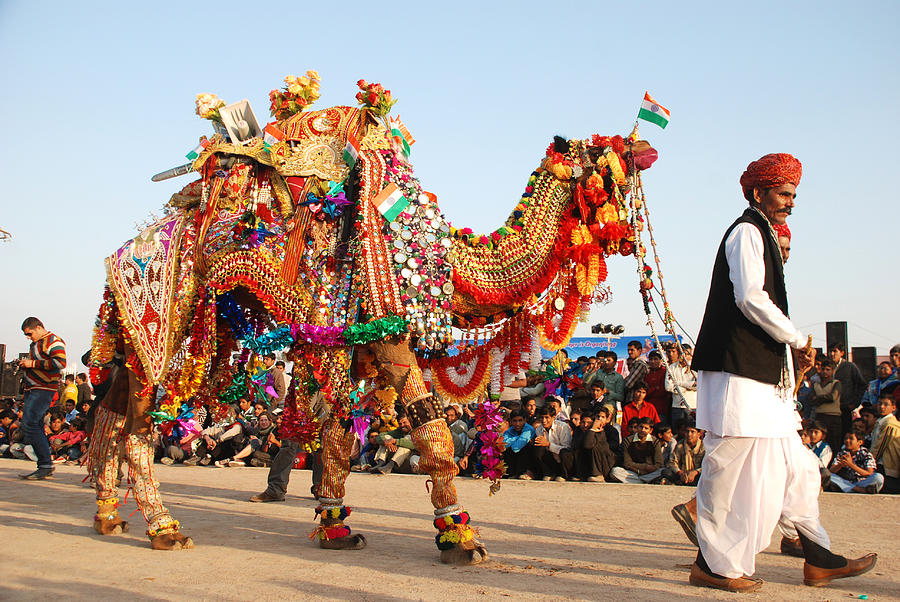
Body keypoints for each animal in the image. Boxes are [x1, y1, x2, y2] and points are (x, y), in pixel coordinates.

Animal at [88, 75, 656, 556]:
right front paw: (462, 539)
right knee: (138, 427)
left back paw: (109, 517)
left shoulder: (360, 342)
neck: (444, 256)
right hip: (163, 322)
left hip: (140, 336)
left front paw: (337, 527)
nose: (644, 148)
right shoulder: (387, 332)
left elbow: (341, 430)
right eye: (602, 153)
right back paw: (164, 529)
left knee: (113, 417)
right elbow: (428, 421)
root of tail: (121, 256)